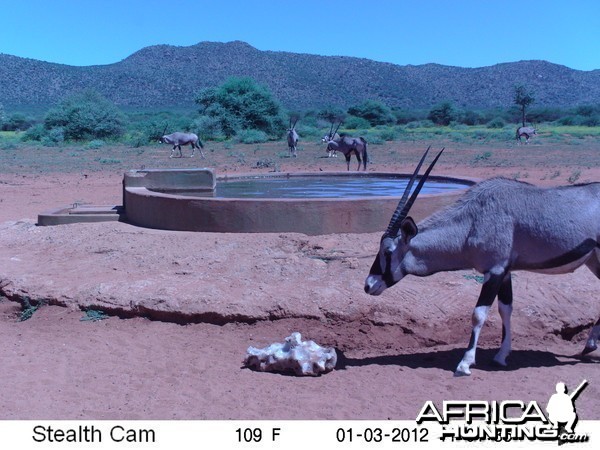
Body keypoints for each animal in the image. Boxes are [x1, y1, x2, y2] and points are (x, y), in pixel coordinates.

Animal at [364, 148, 600, 376]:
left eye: (388, 251)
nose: (368, 285)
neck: (472, 221)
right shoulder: (504, 271)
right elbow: (505, 309)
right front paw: (501, 356)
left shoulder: (494, 271)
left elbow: (478, 314)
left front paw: (465, 363)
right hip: (594, 260)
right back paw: (589, 345)